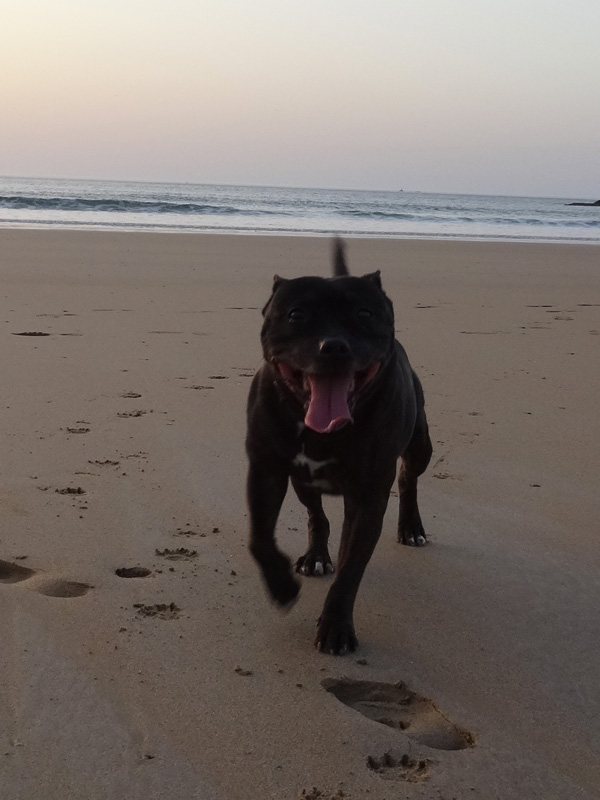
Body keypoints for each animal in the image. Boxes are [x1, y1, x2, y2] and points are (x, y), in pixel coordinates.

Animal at [245, 241, 432, 652]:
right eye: (296, 314)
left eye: (364, 313)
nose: (333, 346)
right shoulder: (266, 470)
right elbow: (260, 539)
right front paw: (282, 587)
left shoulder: (366, 498)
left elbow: (350, 570)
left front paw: (335, 627)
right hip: (303, 482)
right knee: (317, 515)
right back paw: (316, 556)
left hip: (420, 448)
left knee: (408, 478)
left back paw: (411, 527)